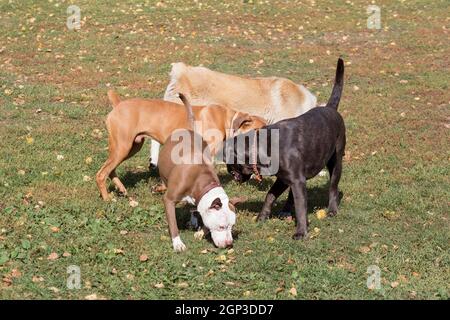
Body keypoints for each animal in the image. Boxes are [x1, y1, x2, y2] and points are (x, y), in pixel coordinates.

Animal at [95, 90, 264, 200]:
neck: (226, 121)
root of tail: (118, 104)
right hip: (122, 148)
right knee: (102, 173)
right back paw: (107, 199)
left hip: (130, 148)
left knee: (110, 170)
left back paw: (121, 189)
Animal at [223, 57, 346, 239]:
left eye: (229, 161)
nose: (227, 170)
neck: (262, 146)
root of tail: (330, 108)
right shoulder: (283, 179)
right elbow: (269, 196)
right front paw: (262, 217)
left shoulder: (296, 179)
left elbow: (301, 207)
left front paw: (301, 231)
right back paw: (286, 210)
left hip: (336, 162)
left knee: (333, 187)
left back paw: (332, 210)